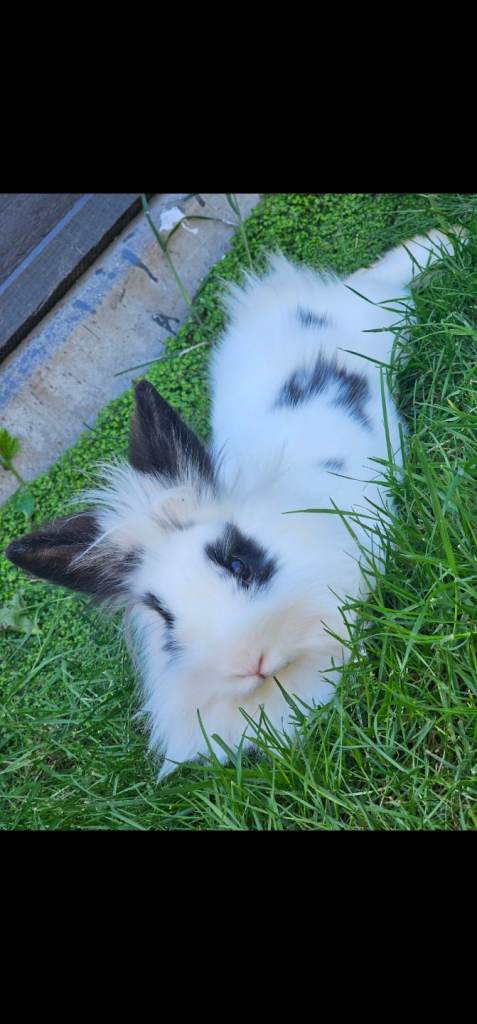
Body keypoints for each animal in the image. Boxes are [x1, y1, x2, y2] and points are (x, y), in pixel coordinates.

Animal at [5, 229, 457, 778]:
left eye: (241, 564)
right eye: (165, 620)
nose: (250, 662)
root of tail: (288, 300)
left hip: (386, 317)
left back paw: (446, 243)